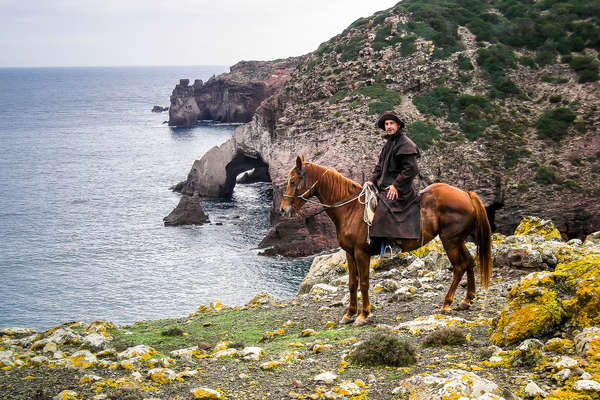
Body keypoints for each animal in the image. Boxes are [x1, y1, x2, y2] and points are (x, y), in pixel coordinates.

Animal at [278, 155, 490, 326]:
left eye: (293, 181)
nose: (283, 209)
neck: (350, 210)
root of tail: (466, 194)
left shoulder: (361, 253)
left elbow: (364, 282)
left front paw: (363, 315)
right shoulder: (349, 253)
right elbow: (352, 283)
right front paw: (349, 314)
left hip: (450, 241)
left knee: (459, 267)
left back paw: (447, 304)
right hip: (458, 240)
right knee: (469, 262)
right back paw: (467, 300)